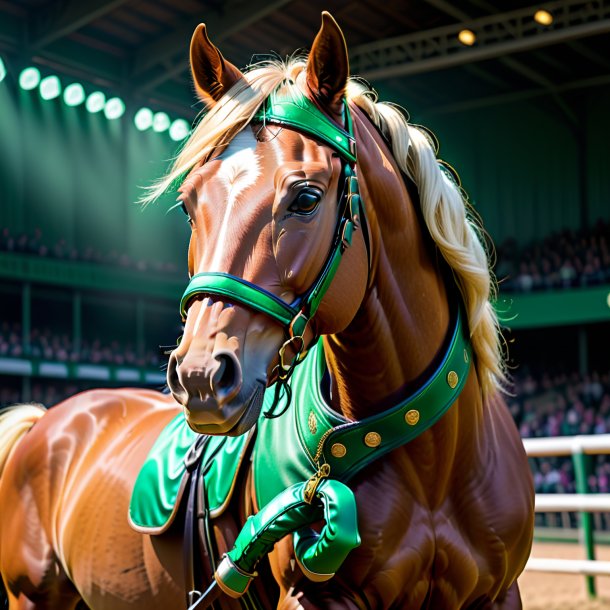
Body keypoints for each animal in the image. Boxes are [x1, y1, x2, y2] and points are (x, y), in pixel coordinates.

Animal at [0, 14, 528, 608]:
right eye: (189, 203)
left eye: (306, 198)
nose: (201, 376)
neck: (431, 460)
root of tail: (47, 419)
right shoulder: (312, 596)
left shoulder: (499, 594)